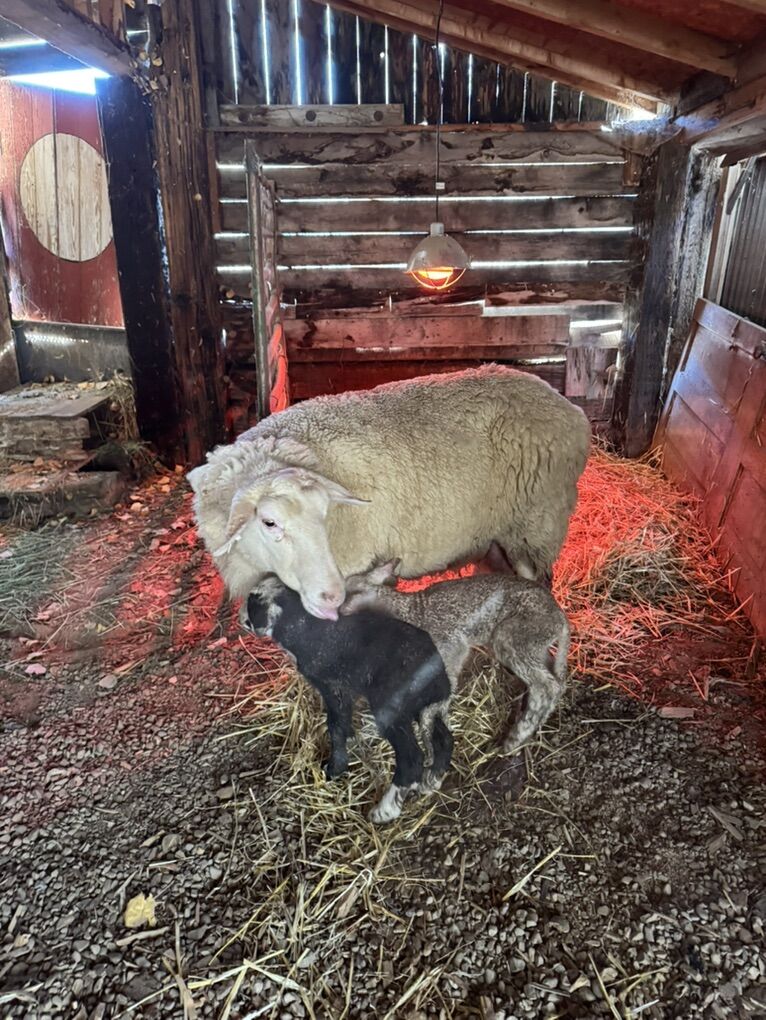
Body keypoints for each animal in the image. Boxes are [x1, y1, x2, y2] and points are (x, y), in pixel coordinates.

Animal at [188, 365, 590, 620]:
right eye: (269, 522)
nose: (330, 594)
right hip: (497, 539)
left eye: (325, 514)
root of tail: (571, 409)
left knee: (537, 582)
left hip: (534, 525)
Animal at [240, 577, 454, 824]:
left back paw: (385, 810)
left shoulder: (334, 687)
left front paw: (335, 767)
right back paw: (432, 781)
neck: (306, 629)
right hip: (424, 706)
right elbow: (343, 721)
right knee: (444, 739)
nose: (240, 616)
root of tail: (434, 665)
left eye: (253, 601)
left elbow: (335, 725)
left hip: (390, 705)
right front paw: (351, 741)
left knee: (411, 757)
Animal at [342, 560, 571, 755]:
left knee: (547, 686)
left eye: (352, 593)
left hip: (511, 637)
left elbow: (443, 690)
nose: (340, 613)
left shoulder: (450, 648)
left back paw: (515, 739)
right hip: (534, 646)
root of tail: (561, 620)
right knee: (556, 682)